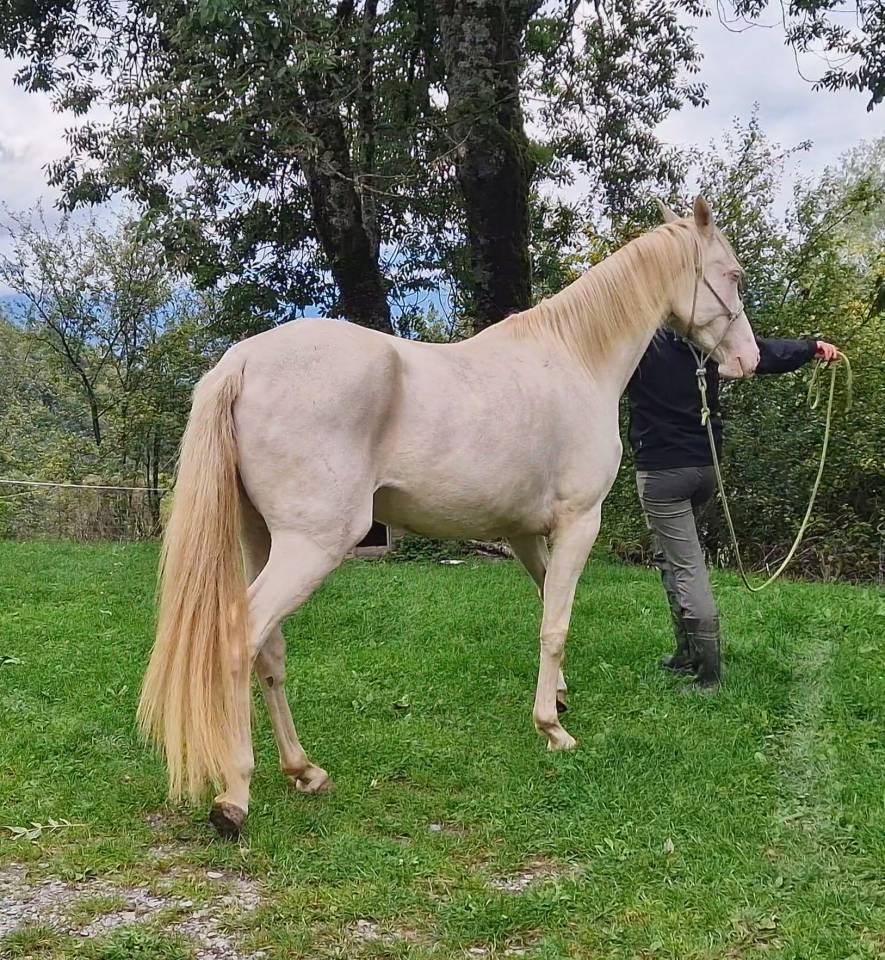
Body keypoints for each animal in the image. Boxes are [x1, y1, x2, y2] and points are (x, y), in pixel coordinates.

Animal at [138, 195, 760, 836]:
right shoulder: (578, 523)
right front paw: (552, 728)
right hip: (309, 546)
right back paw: (235, 794)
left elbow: (546, 605)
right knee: (241, 640)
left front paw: (558, 697)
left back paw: (304, 770)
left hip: (259, 541)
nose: (748, 359)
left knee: (269, 649)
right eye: (733, 274)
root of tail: (241, 362)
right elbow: (556, 624)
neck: (575, 361)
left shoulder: (525, 535)